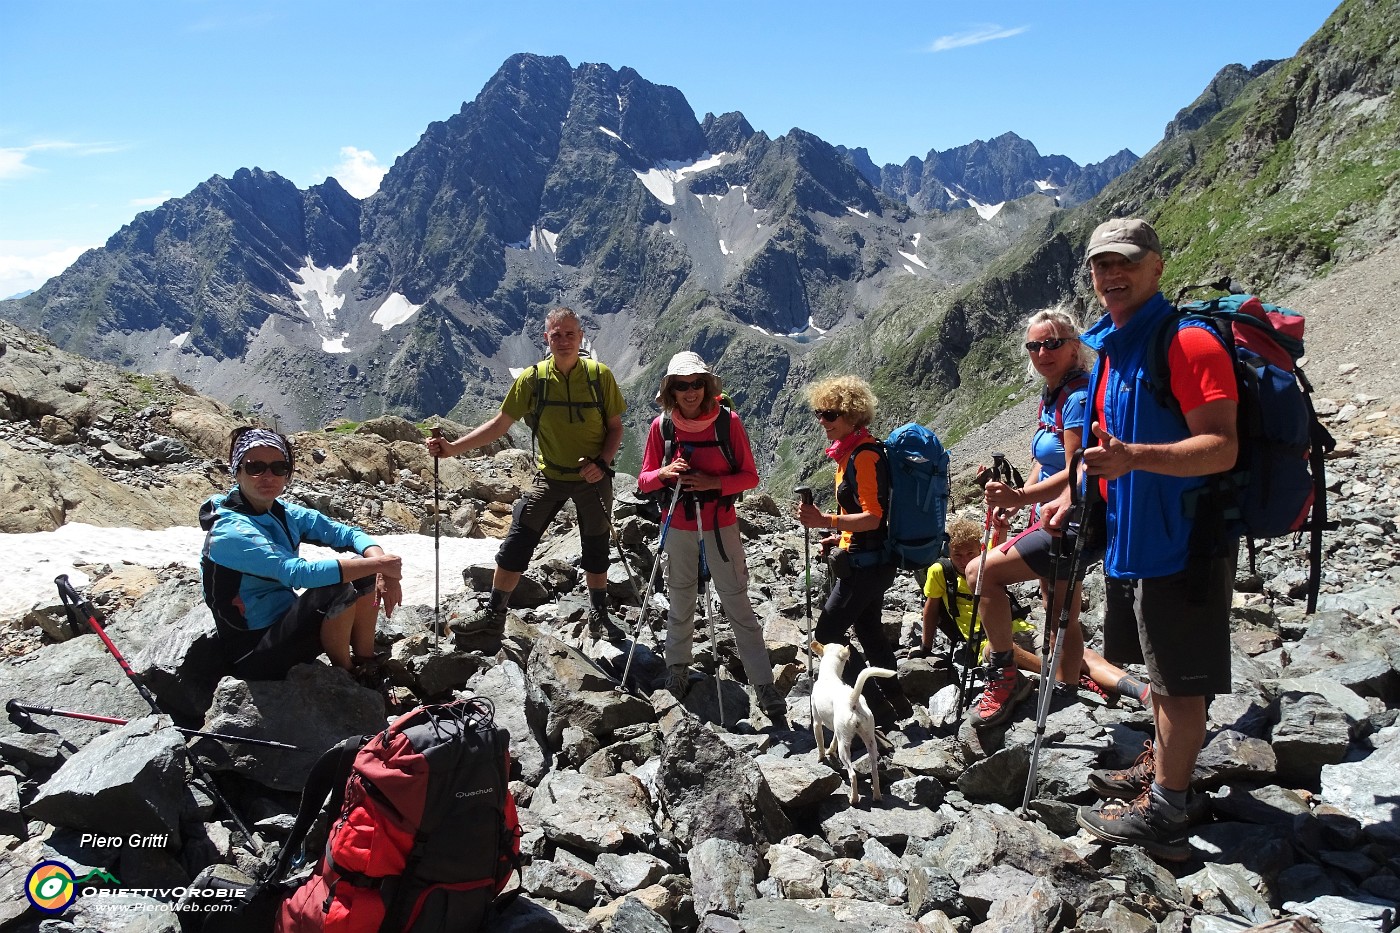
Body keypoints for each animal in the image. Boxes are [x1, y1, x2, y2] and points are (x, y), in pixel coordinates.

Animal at [812, 636, 896, 801]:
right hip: (870, 739)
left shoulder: (817, 722)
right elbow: (833, 740)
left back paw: (854, 799)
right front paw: (830, 750)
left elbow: (820, 743)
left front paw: (821, 758)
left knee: (852, 774)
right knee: (874, 770)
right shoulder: (837, 729)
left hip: (845, 747)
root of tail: (853, 700)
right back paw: (877, 796)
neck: (830, 675)